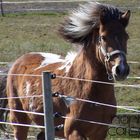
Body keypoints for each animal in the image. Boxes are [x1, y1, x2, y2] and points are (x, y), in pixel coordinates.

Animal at [3, 1, 131, 140]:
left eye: (126, 37)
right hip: (19, 119)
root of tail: (16, 63)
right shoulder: (73, 131)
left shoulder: (100, 132)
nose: (121, 69)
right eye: (103, 37)